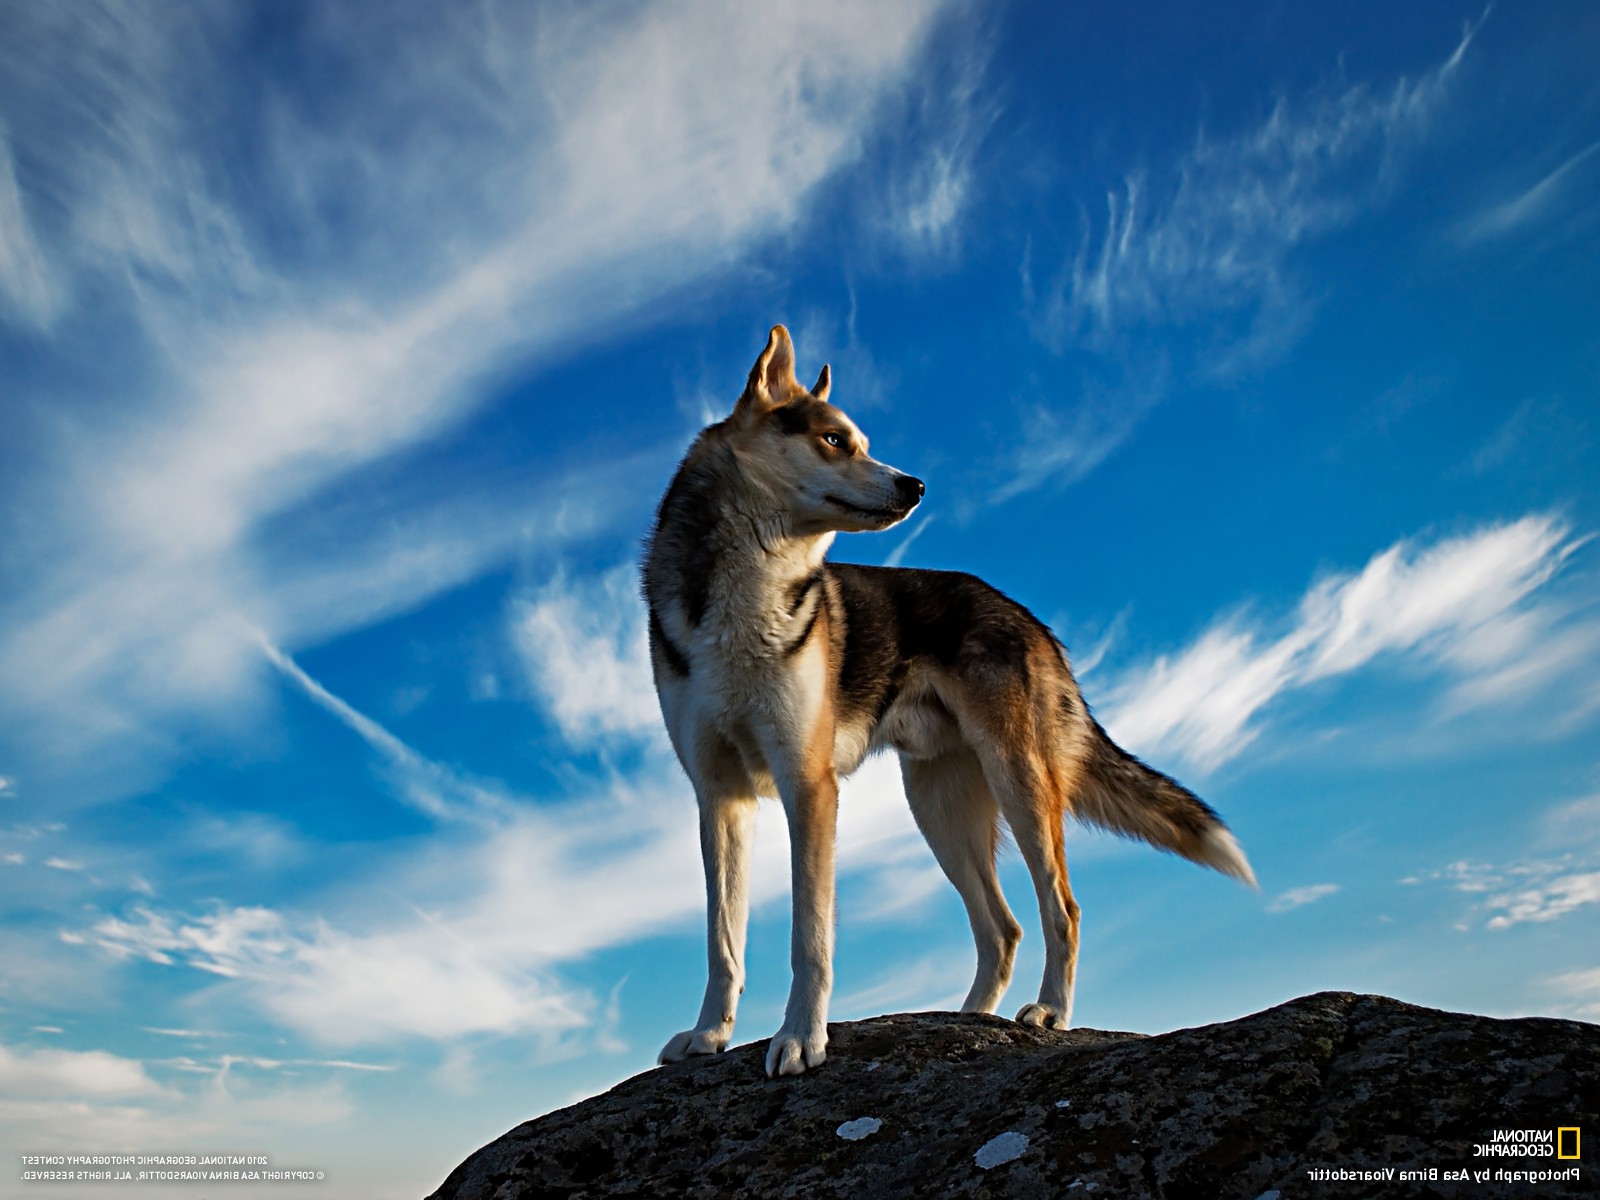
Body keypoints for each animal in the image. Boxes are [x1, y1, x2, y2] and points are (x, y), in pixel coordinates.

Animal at [643, 326, 1254, 1081]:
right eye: (834, 440)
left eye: (860, 441)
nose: (916, 484)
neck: (748, 592)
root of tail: (1025, 616)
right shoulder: (720, 796)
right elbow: (722, 942)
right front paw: (709, 1036)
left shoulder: (808, 787)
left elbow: (809, 938)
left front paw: (801, 1038)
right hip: (940, 808)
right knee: (1003, 928)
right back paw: (969, 1019)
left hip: (1019, 786)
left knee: (1062, 910)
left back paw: (1050, 1013)